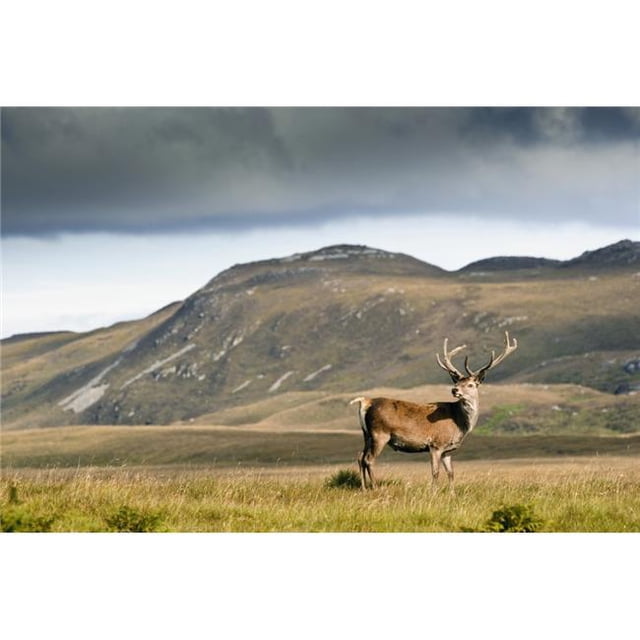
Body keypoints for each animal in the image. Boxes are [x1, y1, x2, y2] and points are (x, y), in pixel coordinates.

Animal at [350, 331, 518, 490]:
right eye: (457, 382)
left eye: (471, 385)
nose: (454, 390)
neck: (460, 423)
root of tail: (365, 402)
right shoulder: (435, 444)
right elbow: (435, 472)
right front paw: (434, 493)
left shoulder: (447, 450)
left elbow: (451, 473)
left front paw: (452, 494)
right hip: (380, 433)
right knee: (369, 459)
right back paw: (375, 487)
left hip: (366, 434)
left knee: (360, 456)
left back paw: (364, 488)